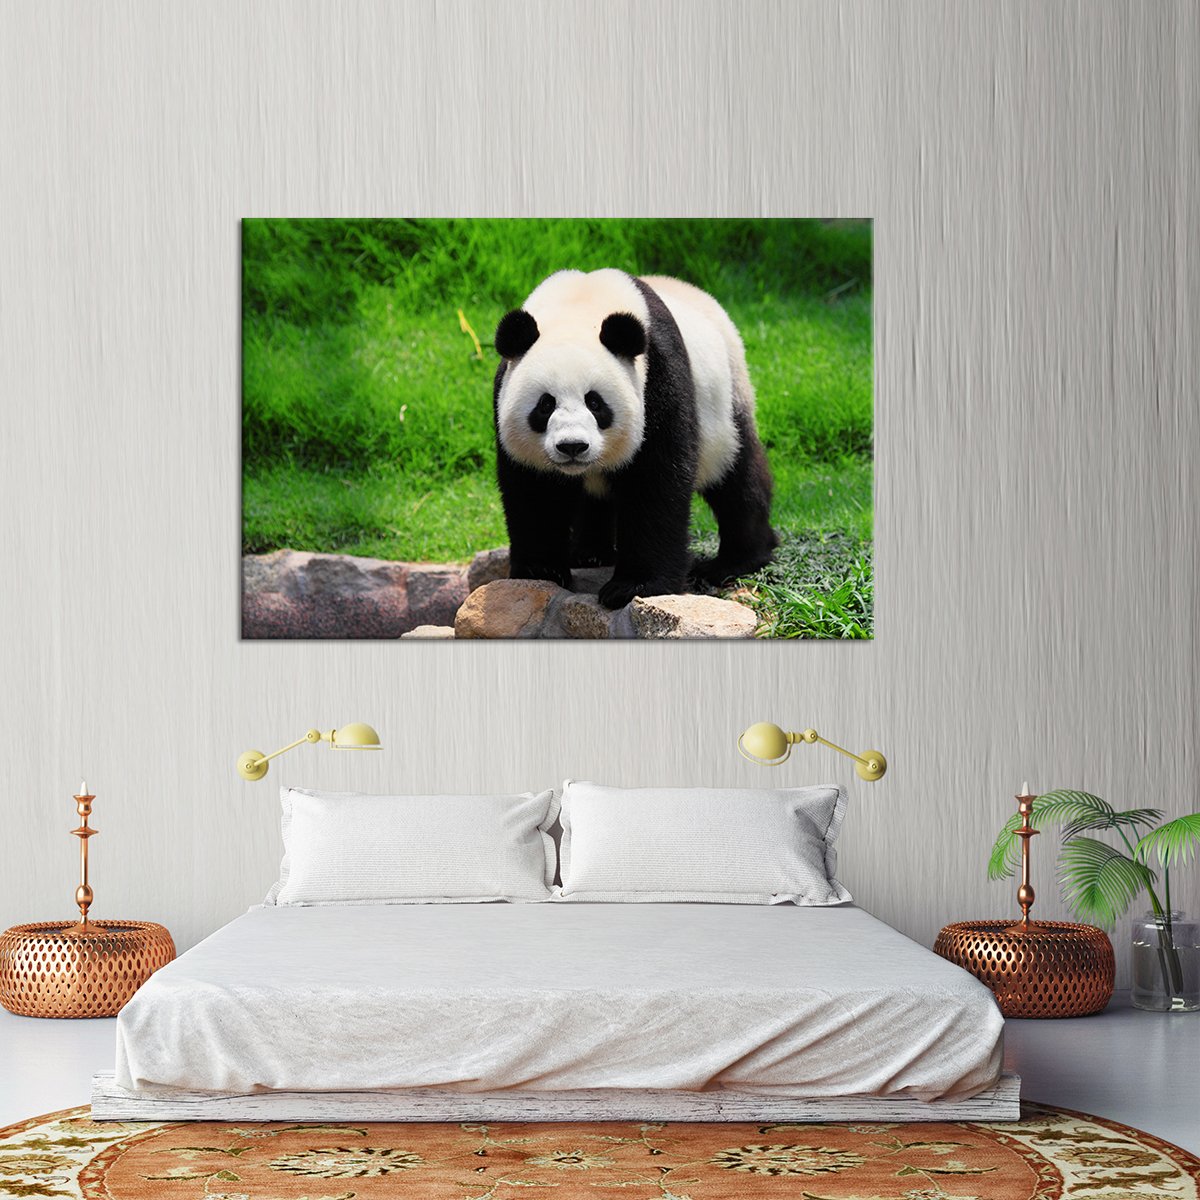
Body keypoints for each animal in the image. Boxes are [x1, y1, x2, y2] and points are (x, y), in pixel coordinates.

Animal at [492, 268, 777, 610]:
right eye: (545, 405)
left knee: (737, 476)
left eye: (595, 402)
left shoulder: (658, 378)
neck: (580, 306)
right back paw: (590, 553)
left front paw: (632, 587)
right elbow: (535, 490)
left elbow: (656, 481)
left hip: (726, 403)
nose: (573, 446)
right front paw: (541, 570)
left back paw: (735, 561)